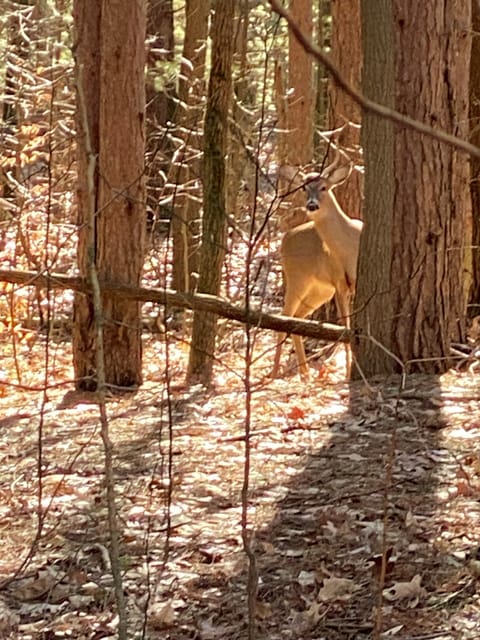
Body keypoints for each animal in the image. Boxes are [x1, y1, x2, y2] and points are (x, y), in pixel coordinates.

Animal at [272, 152, 362, 378]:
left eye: (323, 187)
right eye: (304, 188)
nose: (312, 205)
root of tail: (285, 239)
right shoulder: (339, 282)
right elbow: (345, 326)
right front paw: (348, 373)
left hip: (320, 289)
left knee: (297, 318)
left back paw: (305, 372)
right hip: (297, 278)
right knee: (285, 316)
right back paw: (277, 372)